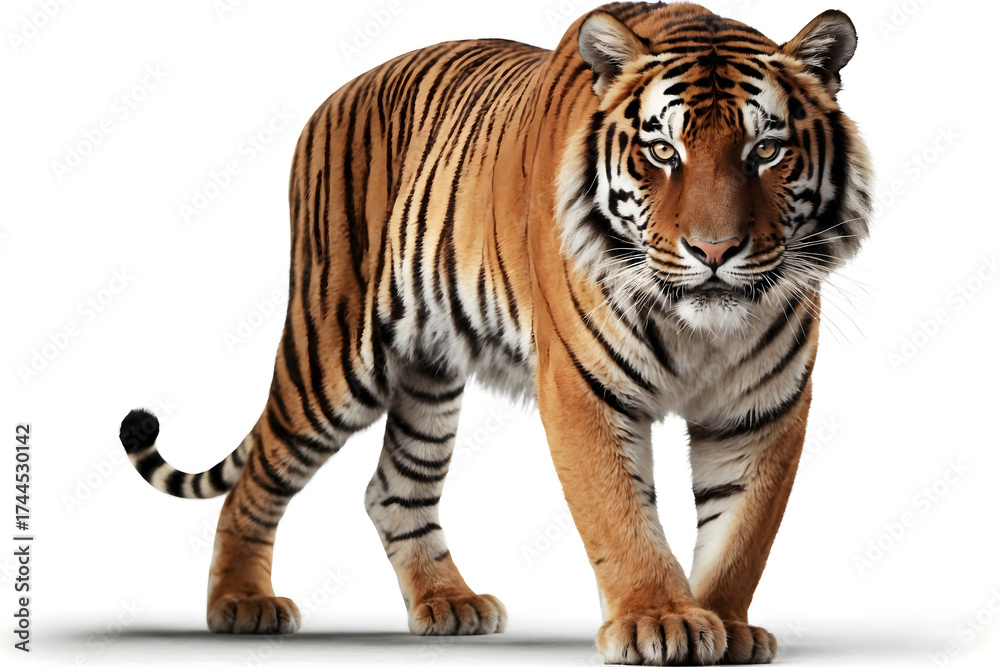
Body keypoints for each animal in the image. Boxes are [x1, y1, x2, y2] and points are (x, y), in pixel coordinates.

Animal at [119, 2, 873, 664]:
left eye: (766, 150)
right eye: (662, 150)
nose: (714, 251)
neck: (700, 331)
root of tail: (331, 98)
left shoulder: (763, 407)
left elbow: (742, 532)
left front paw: (725, 624)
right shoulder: (583, 388)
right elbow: (621, 514)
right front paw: (661, 620)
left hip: (428, 372)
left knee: (393, 490)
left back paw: (448, 603)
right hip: (332, 358)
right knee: (258, 479)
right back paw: (241, 602)